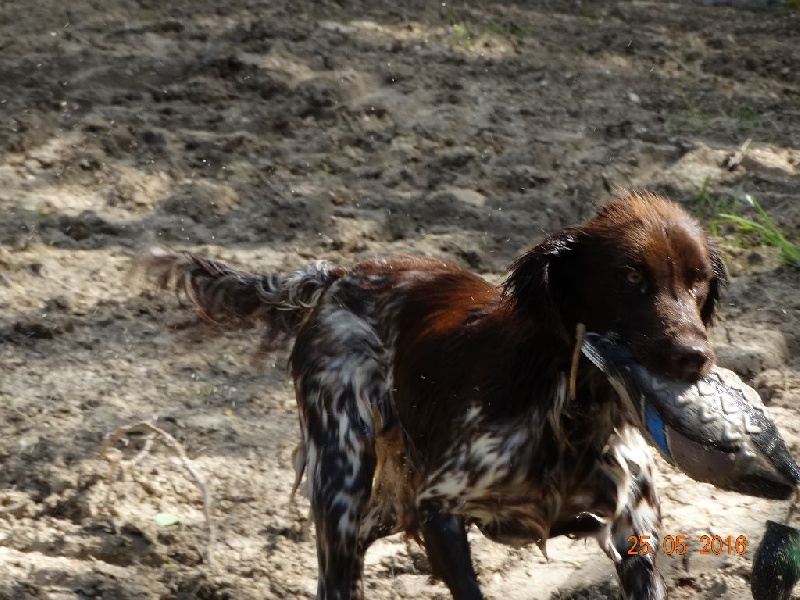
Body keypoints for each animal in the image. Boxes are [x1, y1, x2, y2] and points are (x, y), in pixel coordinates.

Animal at [136, 193, 724, 600]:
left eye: (697, 280)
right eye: (630, 277)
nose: (694, 356)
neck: (573, 414)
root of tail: (343, 274)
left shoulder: (633, 532)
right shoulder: (438, 507)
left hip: (383, 501)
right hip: (342, 474)